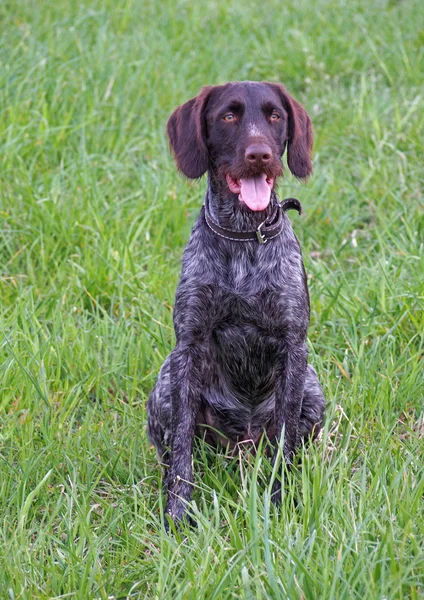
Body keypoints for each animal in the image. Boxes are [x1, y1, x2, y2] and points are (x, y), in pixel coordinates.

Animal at [147, 81, 326, 528]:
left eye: (275, 116)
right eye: (228, 116)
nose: (259, 154)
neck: (245, 235)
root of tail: (242, 444)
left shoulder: (294, 347)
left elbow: (284, 443)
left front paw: (279, 503)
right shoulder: (188, 345)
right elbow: (182, 453)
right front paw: (178, 513)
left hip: (313, 388)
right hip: (165, 383)